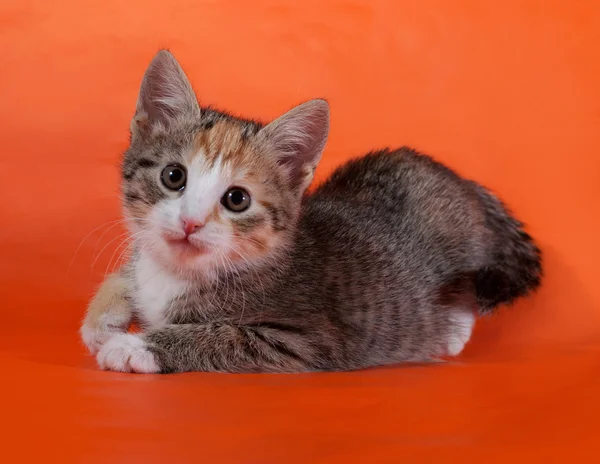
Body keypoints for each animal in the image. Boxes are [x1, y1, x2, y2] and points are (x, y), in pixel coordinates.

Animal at [81, 49, 544, 374]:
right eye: (174, 176)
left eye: (236, 199)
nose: (190, 223)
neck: (179, 271)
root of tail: (462, 182)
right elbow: (129, 273)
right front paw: (103, 318)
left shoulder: (304, 340)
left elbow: (218, 336)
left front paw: (134, 346)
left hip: (465, 248)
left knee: (475, 284)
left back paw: (450, 332)